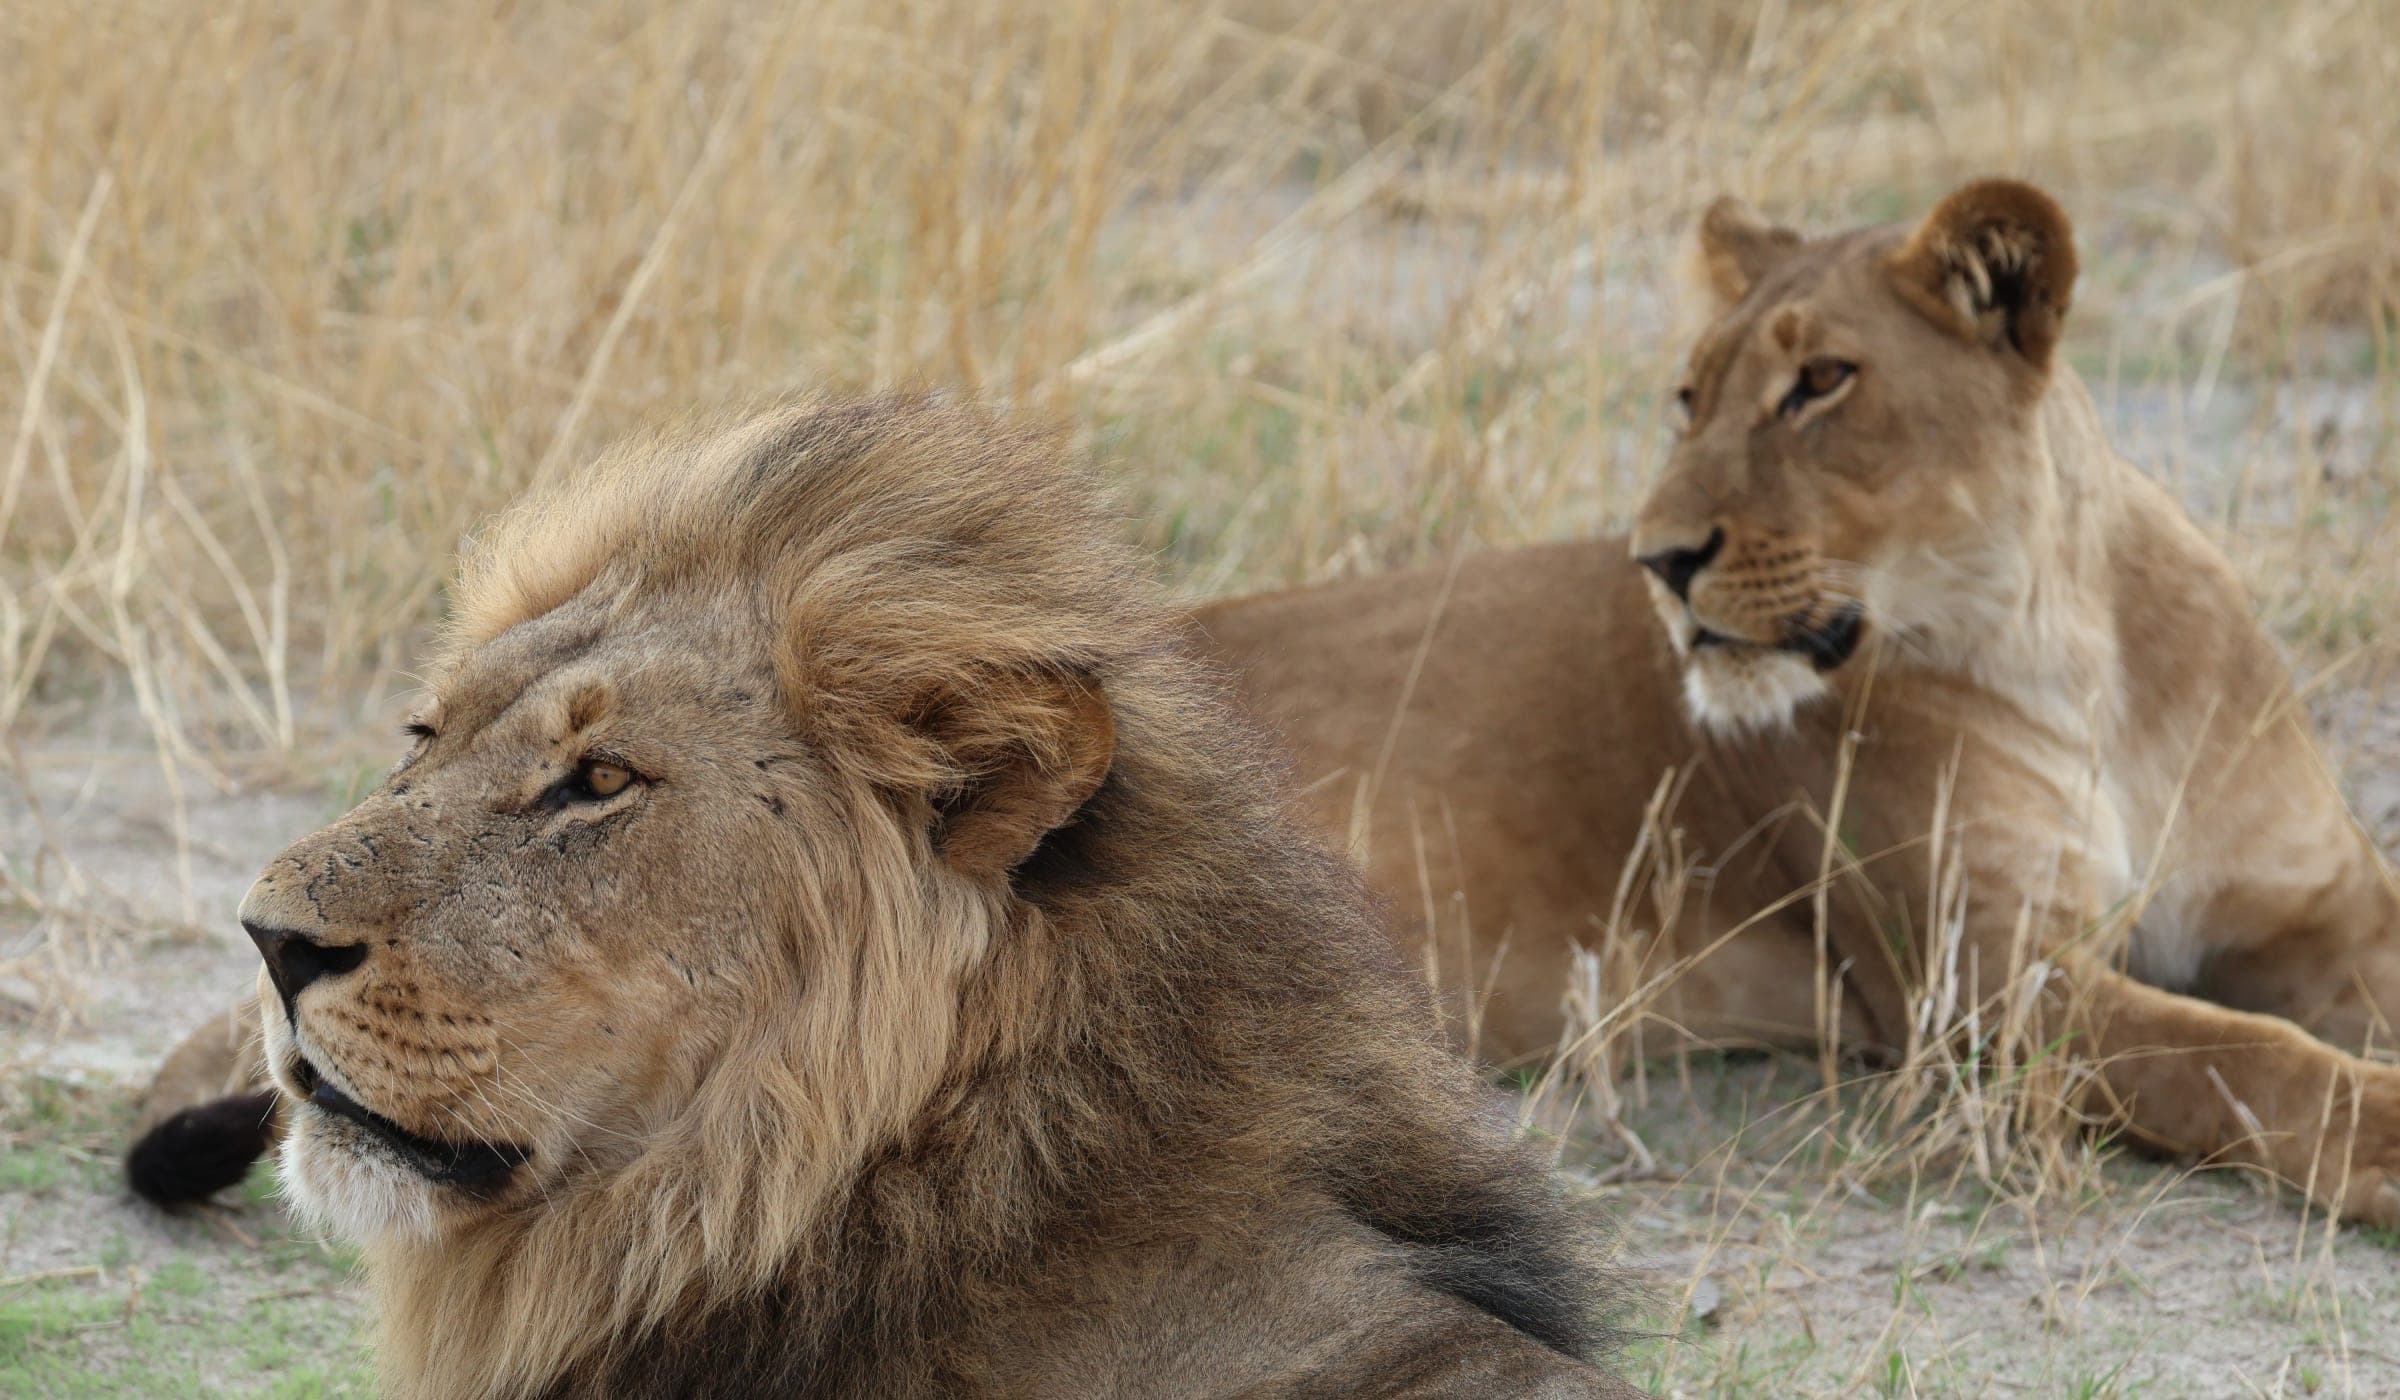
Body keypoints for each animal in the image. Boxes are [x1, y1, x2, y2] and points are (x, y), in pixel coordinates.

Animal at [1197, 179, 2400, 1226]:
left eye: (1822, 380)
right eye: (1690, 399)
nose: (1660, 560)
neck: (2064, 646)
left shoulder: (2318, 910)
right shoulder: (1975, 984)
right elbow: (2235, 1052)